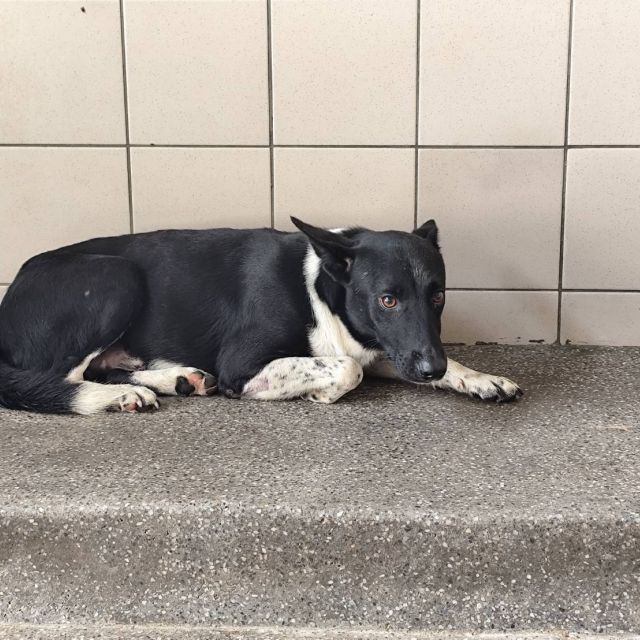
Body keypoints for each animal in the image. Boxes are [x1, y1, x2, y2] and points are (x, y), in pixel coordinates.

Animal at [0, 218, 522, 415]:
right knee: (61, 378)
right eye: (387, 300)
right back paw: (119, 396)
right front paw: (322, 392)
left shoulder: (391, 348)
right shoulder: (242, 363)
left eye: (438, 296)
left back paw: (175, 379)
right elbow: (345, 369)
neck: (321, 288)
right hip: (116, 277)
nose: (430, 367)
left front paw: (481, 378)